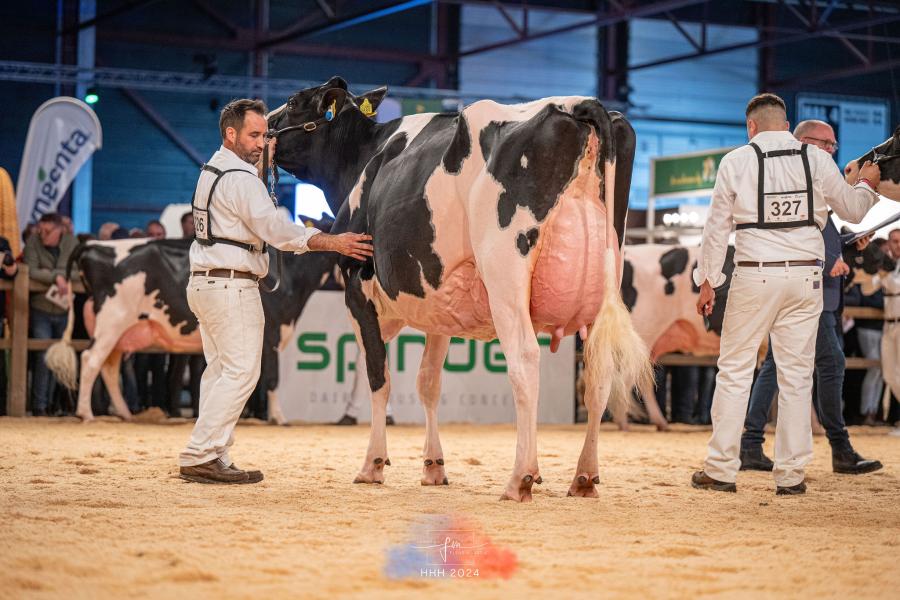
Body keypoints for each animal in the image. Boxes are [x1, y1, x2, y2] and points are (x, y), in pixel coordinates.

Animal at [45, 237, 336, 424]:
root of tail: (93, 244)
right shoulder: (272, 336)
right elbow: (273, 380)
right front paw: (279, 417)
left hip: (122, 330)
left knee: (109, 366)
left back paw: (125, 414)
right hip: (111, 320)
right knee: (91, 359)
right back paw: (86, 414)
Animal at [270, 78, 652, 502]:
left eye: (293, 102)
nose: (265, 126)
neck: (365, 157)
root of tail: (580, 104)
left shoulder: (358, 291)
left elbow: (378, 378)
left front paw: (373, 465)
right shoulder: (439, 307)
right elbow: (428, 383)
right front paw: (433, 467)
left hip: (505, 272)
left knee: (524, 360)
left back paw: (521, 477)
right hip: (608, 273)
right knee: (600, 372)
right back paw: (584, 476)